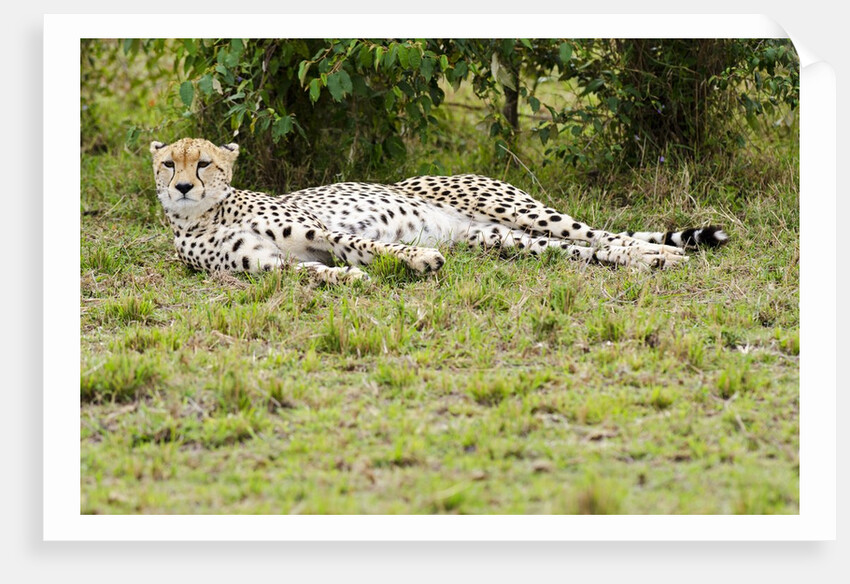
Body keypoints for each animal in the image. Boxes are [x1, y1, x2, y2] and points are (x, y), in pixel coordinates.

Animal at [149, 137, 728, 285]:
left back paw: (660, 256)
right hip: (504, 239)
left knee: (603, 234)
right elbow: (312, 272)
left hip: (520, 210)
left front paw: (416, 262)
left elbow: (364, 245)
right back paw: (652, 260)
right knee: (580, 250)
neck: (204, 215)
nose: (182, 186)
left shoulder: (322, 231)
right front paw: (350, 279)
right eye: (167, 163)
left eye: (204, 163)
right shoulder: (267, 265)